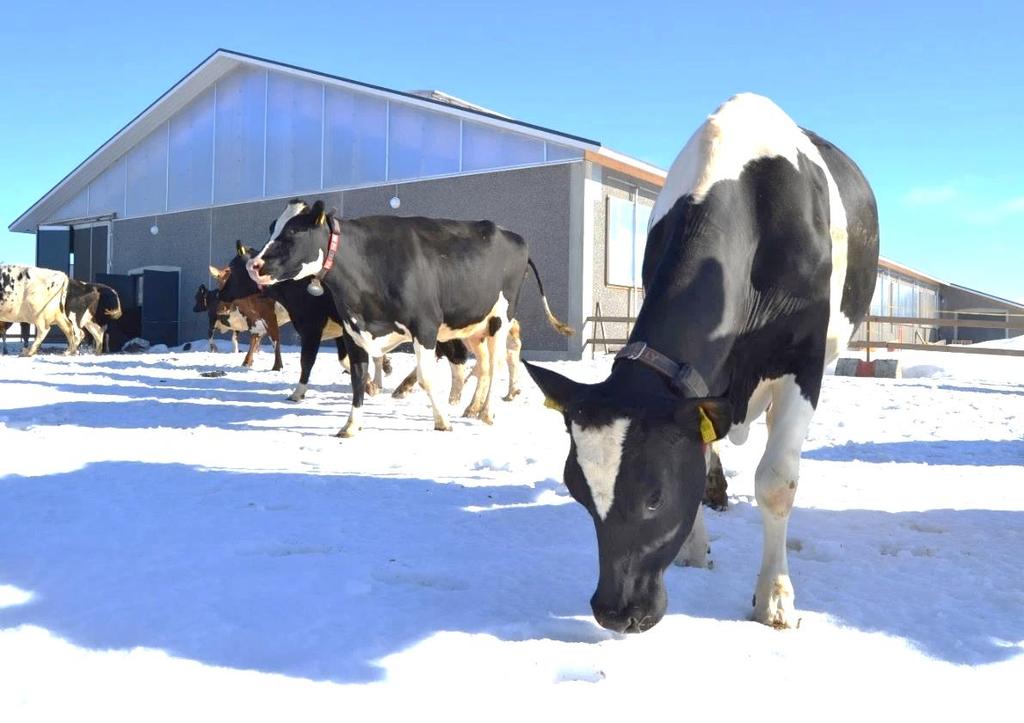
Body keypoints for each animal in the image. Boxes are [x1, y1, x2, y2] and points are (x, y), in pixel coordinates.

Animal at [244, 198, 573, 434]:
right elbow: (357, 377)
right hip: (471, 324)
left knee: (500, 361)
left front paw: (442, 421)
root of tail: (513, 235)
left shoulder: (425, 326)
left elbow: (427, 377)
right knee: (484, 364)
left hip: (501, 316)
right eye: (273, 229)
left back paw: (487, 412)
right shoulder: (353, 331)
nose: (253, 265)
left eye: (293, 232)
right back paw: (472, 408)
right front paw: (350, 426)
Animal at [528, 94, 880, 630]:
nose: (614, 613)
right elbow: (701, 444)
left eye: (654, 495)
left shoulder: (802, 360)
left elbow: (777, 481)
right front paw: (695, 548)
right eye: (577, 491)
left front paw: (775, 596)